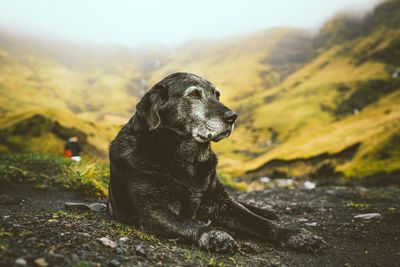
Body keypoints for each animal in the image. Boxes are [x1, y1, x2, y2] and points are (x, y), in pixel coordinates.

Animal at [108, 73, 324, 253]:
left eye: (217, 95)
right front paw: (215, 235)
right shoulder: (153, 210)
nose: (233, 117)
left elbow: (258, 222)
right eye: (194, 94)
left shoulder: (221, 203)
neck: (186, 158)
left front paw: (294, 234)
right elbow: (190, 223)